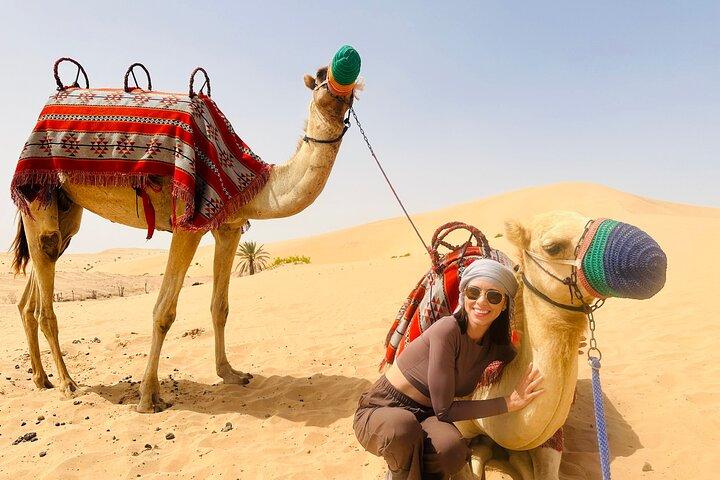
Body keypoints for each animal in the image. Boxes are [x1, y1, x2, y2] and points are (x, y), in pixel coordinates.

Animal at [11, 64, 355, 413]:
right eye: (322, 79)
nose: (339, 81)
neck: (252, 183)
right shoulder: (188, 223)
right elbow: (164, 312)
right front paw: (148, 397)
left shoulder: (228, 226)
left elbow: (220, 306)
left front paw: (230, 373)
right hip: (39, 194)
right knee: (45, 283)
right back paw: (67, 384)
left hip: (67, 208)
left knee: (36, 283)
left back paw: (41, 379)